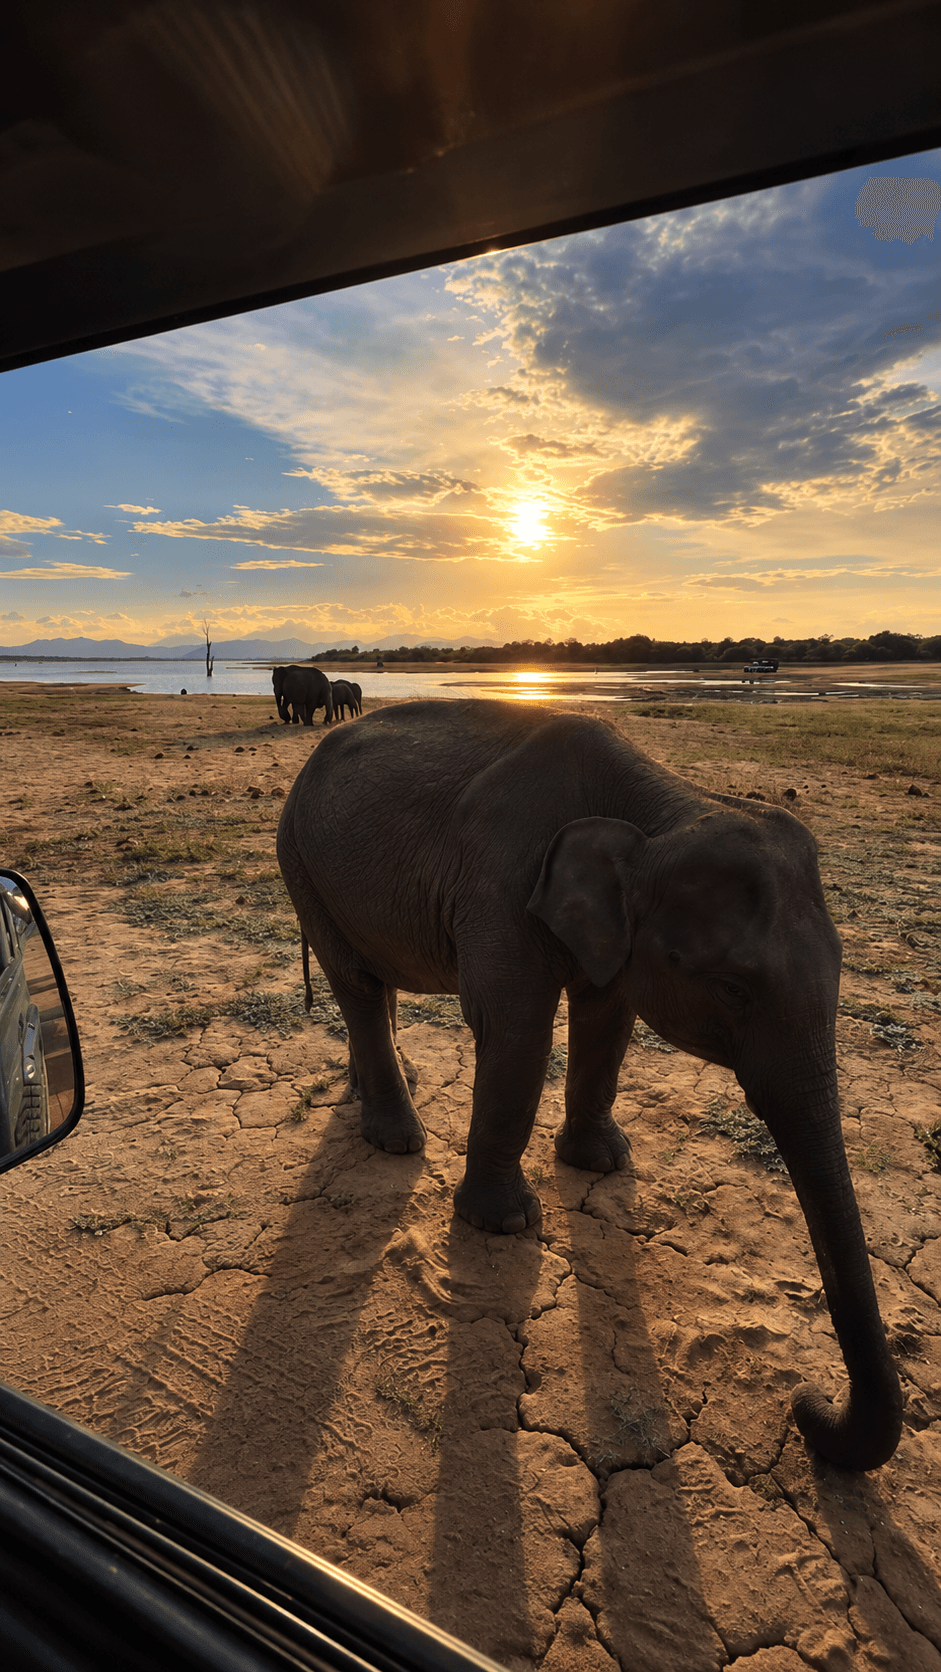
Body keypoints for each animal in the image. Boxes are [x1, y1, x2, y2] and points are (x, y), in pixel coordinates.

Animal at [277, 699, 903, 1472]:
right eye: (732, 988)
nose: (806, 1404)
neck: (661, 810)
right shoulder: (503, 887)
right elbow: (515, 1027)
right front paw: (506, 1224)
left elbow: (607, 1015)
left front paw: (602, 1163)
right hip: (300, 860)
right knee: (356, 982)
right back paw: (396, 1140)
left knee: (369, 978)